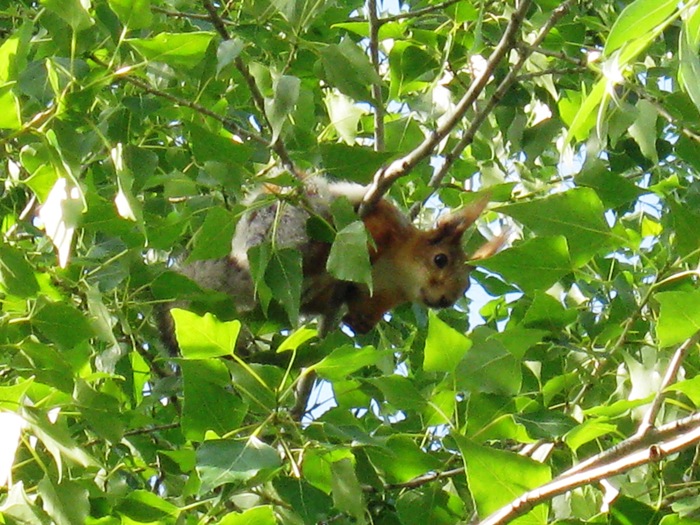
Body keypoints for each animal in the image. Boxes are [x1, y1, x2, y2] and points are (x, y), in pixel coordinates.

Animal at [159, 175, 504, 353]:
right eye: (440, 259)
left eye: (466, 286)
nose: (445, 300)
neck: (393, 275)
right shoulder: (380, 216)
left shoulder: (379, 299)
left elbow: (360, 313)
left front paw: (358, 322)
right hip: (282, 226)